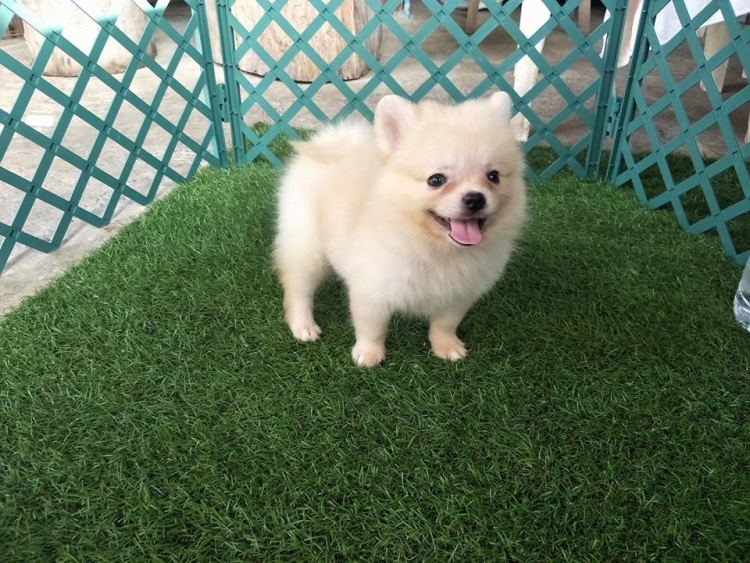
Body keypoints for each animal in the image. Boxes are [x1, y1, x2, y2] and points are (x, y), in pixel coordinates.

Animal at [274, 92, 526, 367]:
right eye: (436, 180)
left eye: (494, 177)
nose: (475, 199)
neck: (435, 249)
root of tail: (334, 140)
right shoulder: (373, 288)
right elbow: (372, 328)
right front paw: (369, 354)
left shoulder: (458, 294)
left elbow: (445, 324)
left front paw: (446, 347)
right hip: (306, 246)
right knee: (299, 288)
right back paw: (303, 325)